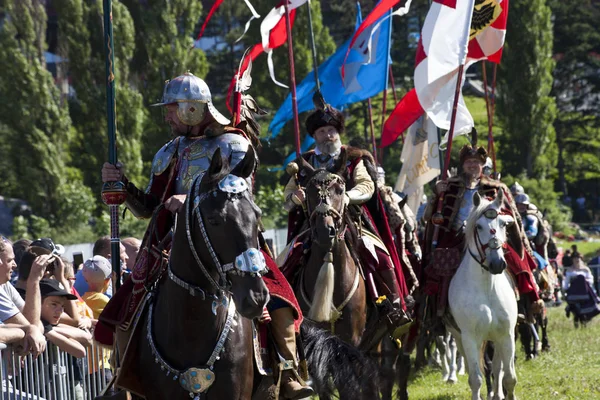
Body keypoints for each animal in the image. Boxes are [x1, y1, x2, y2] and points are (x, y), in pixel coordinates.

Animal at [448, 191, 516, 400]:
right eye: (479, 227)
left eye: (503, 224)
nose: (497, 263)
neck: (487, 288)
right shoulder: (469, 337)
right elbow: (475, 378)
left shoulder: (506, 335)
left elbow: (509, 377)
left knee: (497, 368)